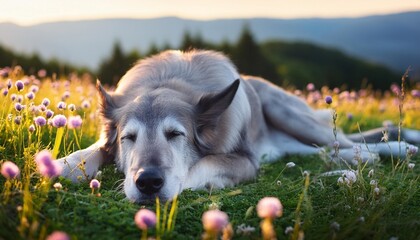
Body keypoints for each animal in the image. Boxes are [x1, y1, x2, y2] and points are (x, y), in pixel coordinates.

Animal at [56, 49, 420, 203]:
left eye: (175, 134)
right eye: (129, 138)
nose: (147, 182)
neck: (169, 82)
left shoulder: (246, 160)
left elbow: (201, 165)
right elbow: (90, 153)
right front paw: (64, 165)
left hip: (285, 111)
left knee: (351, 146)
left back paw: (386, 152)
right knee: (333, 150)